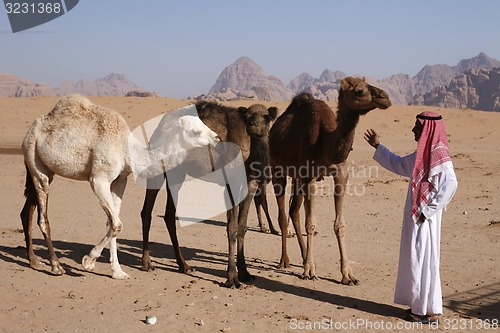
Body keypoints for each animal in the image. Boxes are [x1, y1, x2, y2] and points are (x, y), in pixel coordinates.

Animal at [20, 94, 219, 278]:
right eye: (195, 131)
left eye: (204, 125)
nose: (217, 138)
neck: (127, 149)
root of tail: (30, 130)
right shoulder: (99, 179)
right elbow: (116, 224)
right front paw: (89, 261)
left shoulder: (120, 180)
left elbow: (112, 223)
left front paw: (117, 271)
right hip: (35, 162)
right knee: (43, 217)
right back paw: (56, 266)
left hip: (45, 170)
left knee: (28, 209)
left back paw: (34, 261)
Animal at [141, 100, 278, 286]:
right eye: (248, 117)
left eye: (266, 117)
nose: (254, 124)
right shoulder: (231, 182)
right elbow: (232, 228)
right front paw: (232, 278)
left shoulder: (250, 184)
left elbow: (242, 227)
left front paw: (245, 273)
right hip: (158, 167)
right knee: (146, 212)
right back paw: (147, 263)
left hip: (177, 172)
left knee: (169, 215)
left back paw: (184, 266)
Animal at [270, 76, 390, 284]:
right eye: (358, 91)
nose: (385, 97)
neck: (325, 143)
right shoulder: (309, 177)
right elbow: (311, 223)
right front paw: (310, 270)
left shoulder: (340, 175)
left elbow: (339, 224)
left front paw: (348, 274)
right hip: (278, 170)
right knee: (283, 215)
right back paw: (285, 260)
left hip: (297, 177)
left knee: (294, 211)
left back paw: (303, 257)